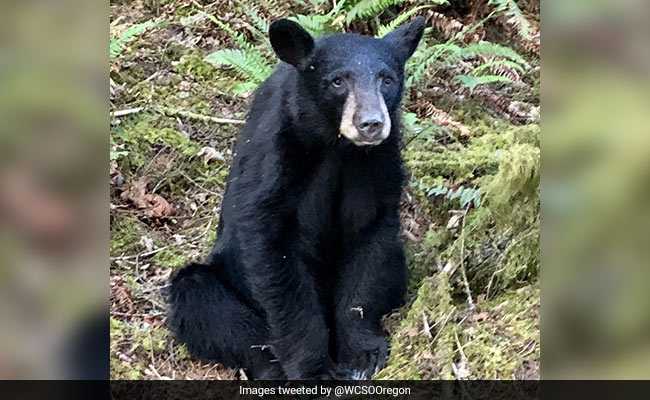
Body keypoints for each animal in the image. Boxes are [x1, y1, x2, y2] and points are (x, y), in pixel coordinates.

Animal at [168, 17, 425, 380]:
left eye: (387, 79)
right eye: (337, 81)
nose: (371, 124)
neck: (336, 146)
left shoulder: (377, 164)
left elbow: (370, 241)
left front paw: (362, 354)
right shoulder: (278, 157)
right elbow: (275, 255)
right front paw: (314, 368)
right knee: (202, 300)